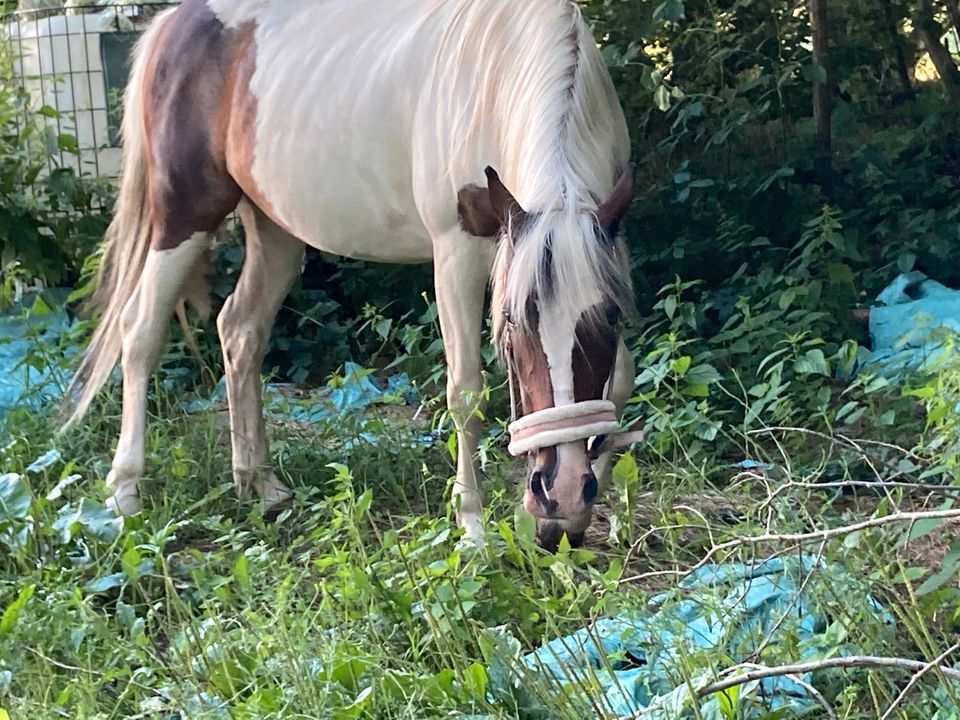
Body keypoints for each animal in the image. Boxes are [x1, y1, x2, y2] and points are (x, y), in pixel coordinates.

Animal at [63, 0, 640, 548]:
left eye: (611, 317)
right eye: (513, 323)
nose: (561, 491)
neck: (498, 70)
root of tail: (170, 23)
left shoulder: (608, 242)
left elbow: (619, 383)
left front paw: (586, 508)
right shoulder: (456, 250)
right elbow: (466, 392)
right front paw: (472, 527)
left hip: (274, 228)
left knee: (239, 329)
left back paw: (260, 483)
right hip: (183, 217)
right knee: (140, 330)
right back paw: (124, 492)